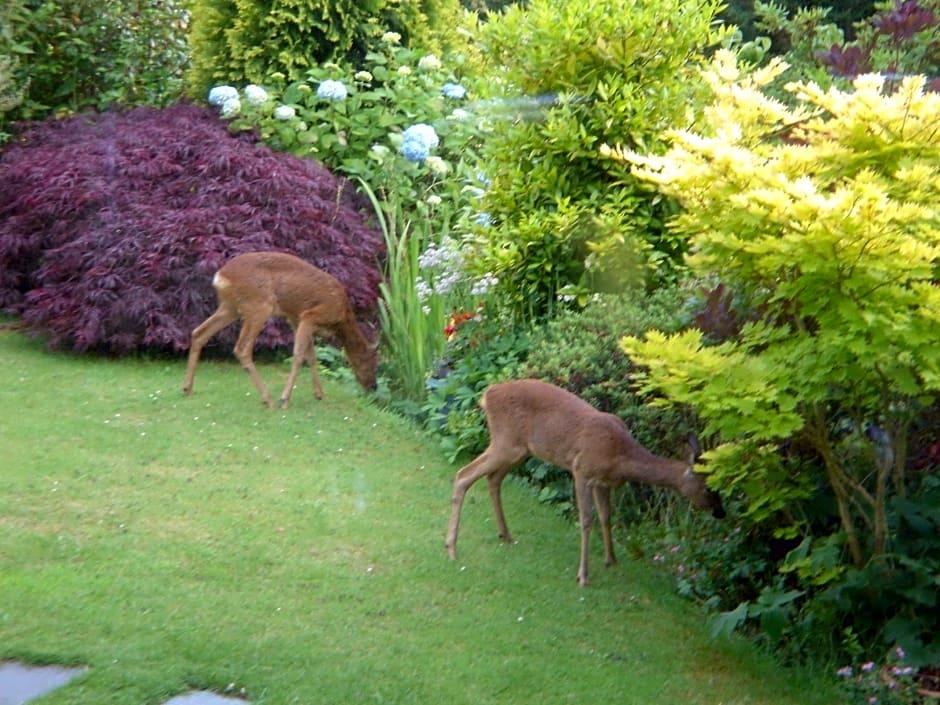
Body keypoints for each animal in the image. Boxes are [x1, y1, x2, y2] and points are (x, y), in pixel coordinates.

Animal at [181, 251, 378, 408]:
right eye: (371, 362)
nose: (373, 386)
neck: (342, 316)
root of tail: (220, 276)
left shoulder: (296, 318)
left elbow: (312, 355)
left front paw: (319, 394)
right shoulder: (310, 315)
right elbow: (299, 355)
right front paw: (285, 399)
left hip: (230, 307)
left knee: (199, 332)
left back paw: (187, 388)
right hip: (259, 305)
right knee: (242, 348)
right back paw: (268, 399)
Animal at [445, 379, 725, 586]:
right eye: (708, 488)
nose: (721, 513)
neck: (621, 455)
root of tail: (487, 394)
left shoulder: (604, 482)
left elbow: (606, 516)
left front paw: (611, 559)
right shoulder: (581, 470)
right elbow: (587, 520)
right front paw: (583, 575)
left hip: (520, 449)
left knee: (493, 478)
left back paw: (505, 534)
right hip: (506, 442)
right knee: (463, 475)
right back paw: (451, 547)